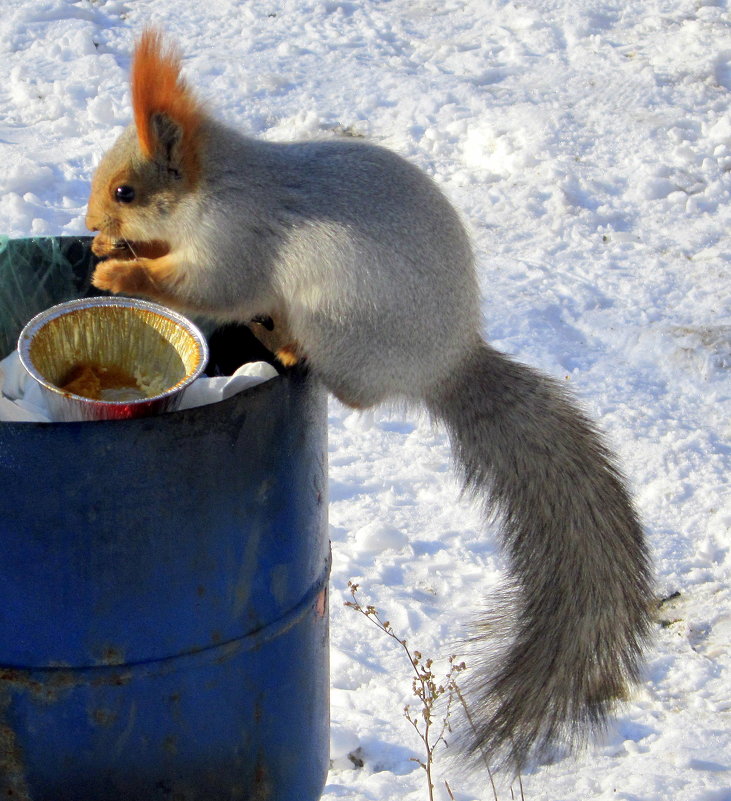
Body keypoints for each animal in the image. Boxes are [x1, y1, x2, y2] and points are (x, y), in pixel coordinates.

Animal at [88, 29, 656, 768]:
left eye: (125, 190)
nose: (91, 223)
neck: (219, 188)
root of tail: (448, 366)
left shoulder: (232, 247)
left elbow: (205, 287)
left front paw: (119, 270)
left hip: (338, 322)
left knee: (346, 388)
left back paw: (282, 340)